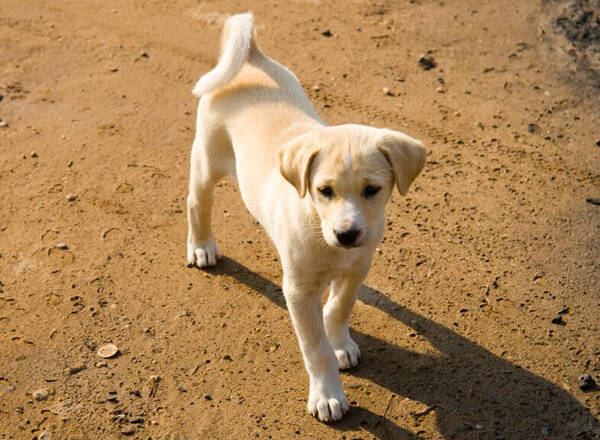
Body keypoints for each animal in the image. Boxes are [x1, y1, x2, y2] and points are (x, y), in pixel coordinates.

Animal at [185, 12, 424, 422]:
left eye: (372, 190)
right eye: (324, 191)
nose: (348, 234)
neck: (321, 230)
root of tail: (250, 58)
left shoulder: (357, 268)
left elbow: (340, 308)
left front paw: (340, 342)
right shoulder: (297, 291)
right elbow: (316, 348)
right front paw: (327, 394)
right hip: (206, 161)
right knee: (196, 203)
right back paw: (201, 247)